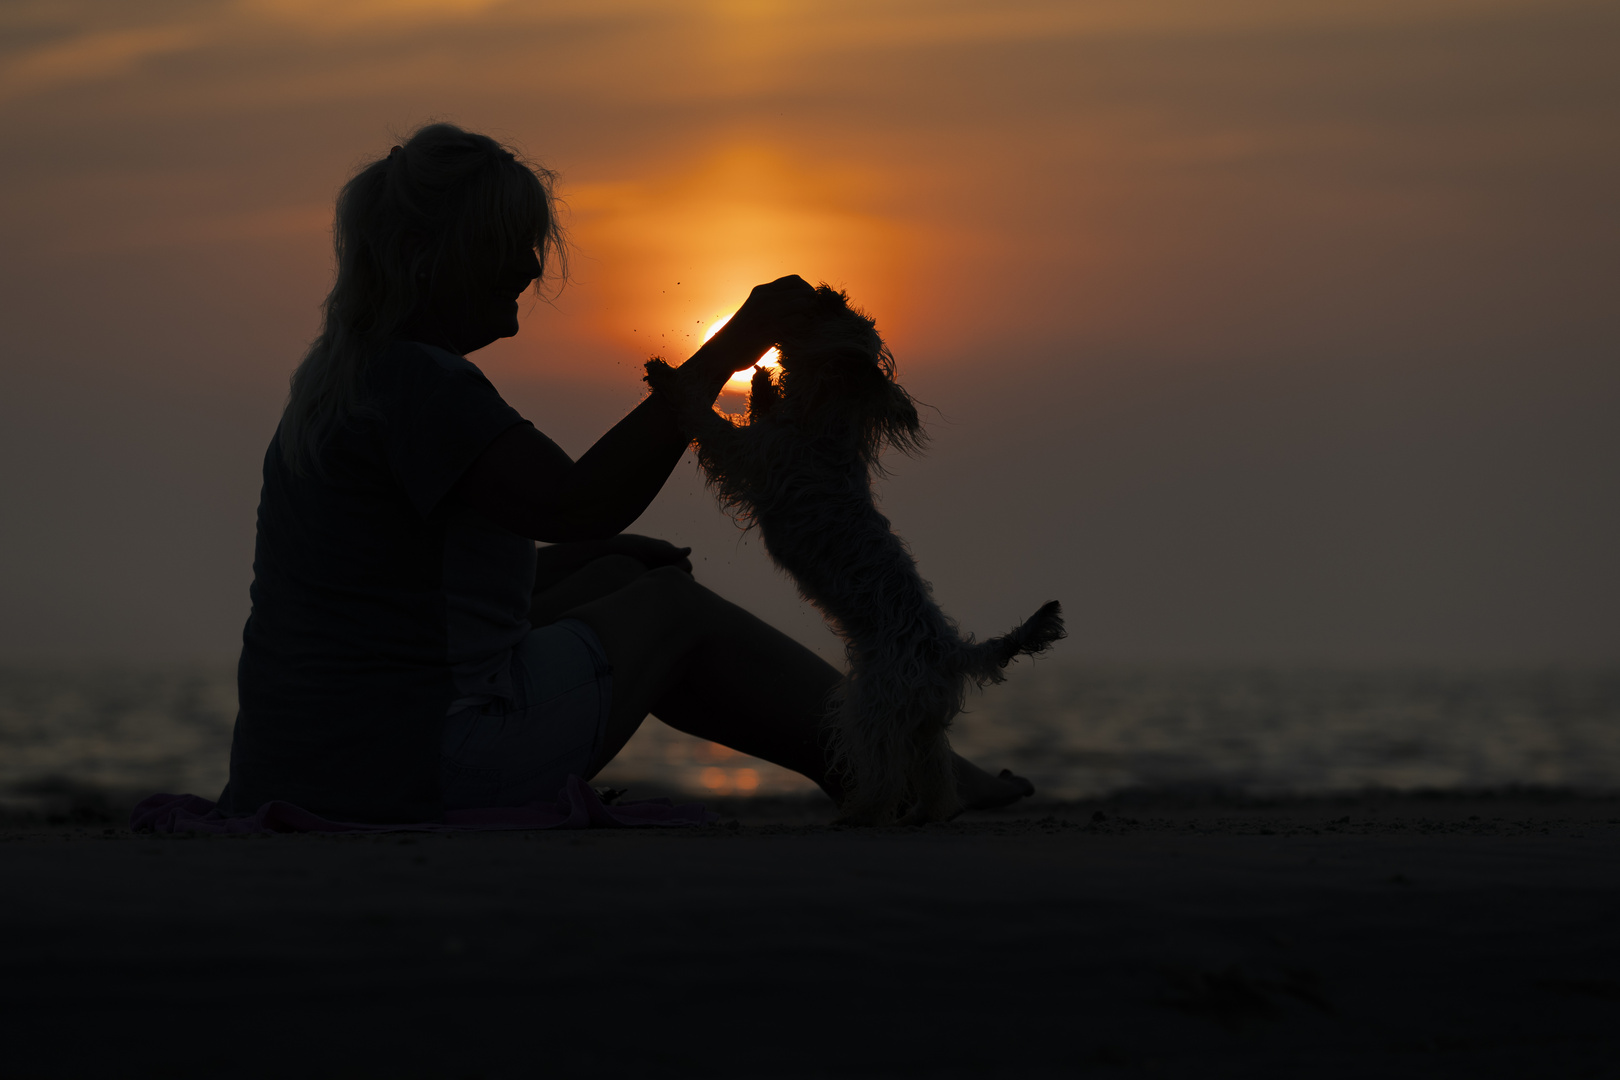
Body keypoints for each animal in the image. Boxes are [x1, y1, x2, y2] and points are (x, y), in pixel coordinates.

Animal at [644, 286, 1062, 829]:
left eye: (835, 311)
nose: (828, 290)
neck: (825, 422)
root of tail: (951, 652)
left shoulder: (752, 456)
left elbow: (706, 419)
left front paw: (669, 378)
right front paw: (761, 382)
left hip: (871, 705)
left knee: (882, 768)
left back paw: (863, 812)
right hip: (921, 720)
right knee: (936, 770)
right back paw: (929, 812)